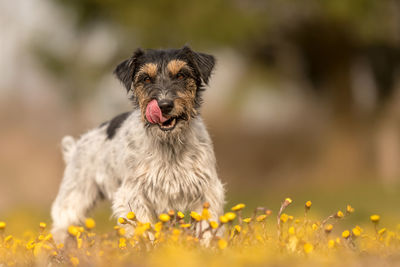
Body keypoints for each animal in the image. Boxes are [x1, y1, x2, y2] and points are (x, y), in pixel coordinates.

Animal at [50, 46, 225, 243]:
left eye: (181, 75)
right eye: (146, 78)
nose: (164, 105)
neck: (169, 145)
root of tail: (74, 148)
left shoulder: (207, 190)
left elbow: (207, 227)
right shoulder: (133, 195)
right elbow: (144, 229)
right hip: (73, 201)